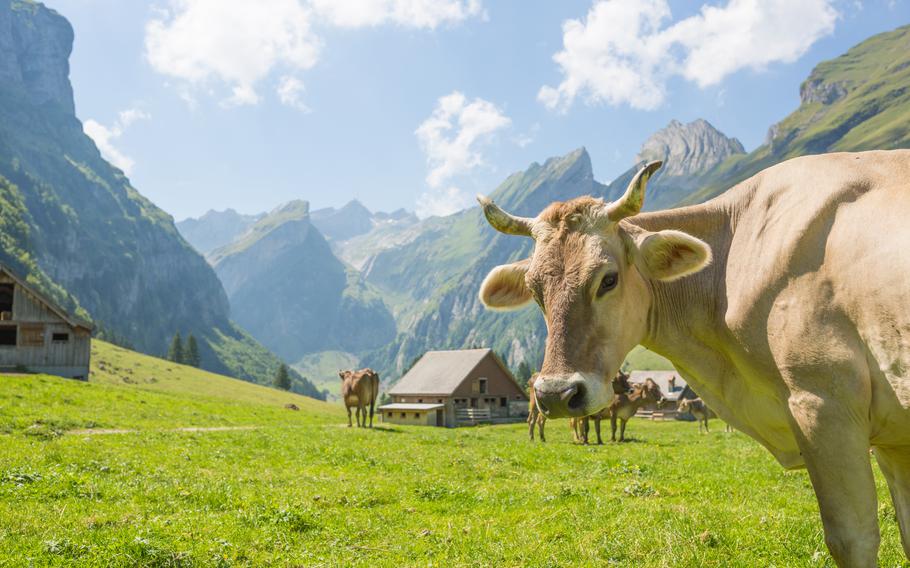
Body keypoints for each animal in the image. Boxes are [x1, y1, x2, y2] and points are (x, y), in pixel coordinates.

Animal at [478, 152, 910, 568]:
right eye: (536, 290)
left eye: (608, 279)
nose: (554, 394)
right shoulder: (889, 436)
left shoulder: (825, 406)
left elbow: (852, 541)